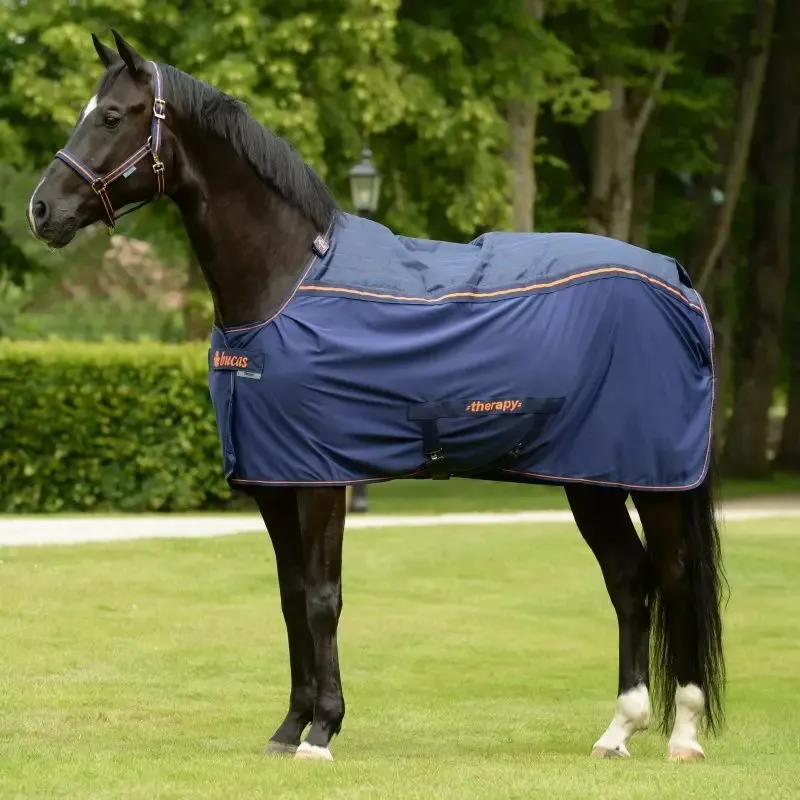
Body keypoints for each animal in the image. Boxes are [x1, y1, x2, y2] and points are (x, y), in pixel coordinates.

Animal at [27, 31, 725, 763]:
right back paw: (618, 730)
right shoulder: (275, 480)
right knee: (629, 580)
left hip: (654, 480)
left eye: (112, 116)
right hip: (591, 478)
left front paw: (322, 731)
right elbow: (290, 598)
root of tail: (679, 282)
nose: (41, 210)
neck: (283, 282)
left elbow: (322, 598)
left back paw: (683, 733)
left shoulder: (322, 479)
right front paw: (288, 729)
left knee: (675, 579)